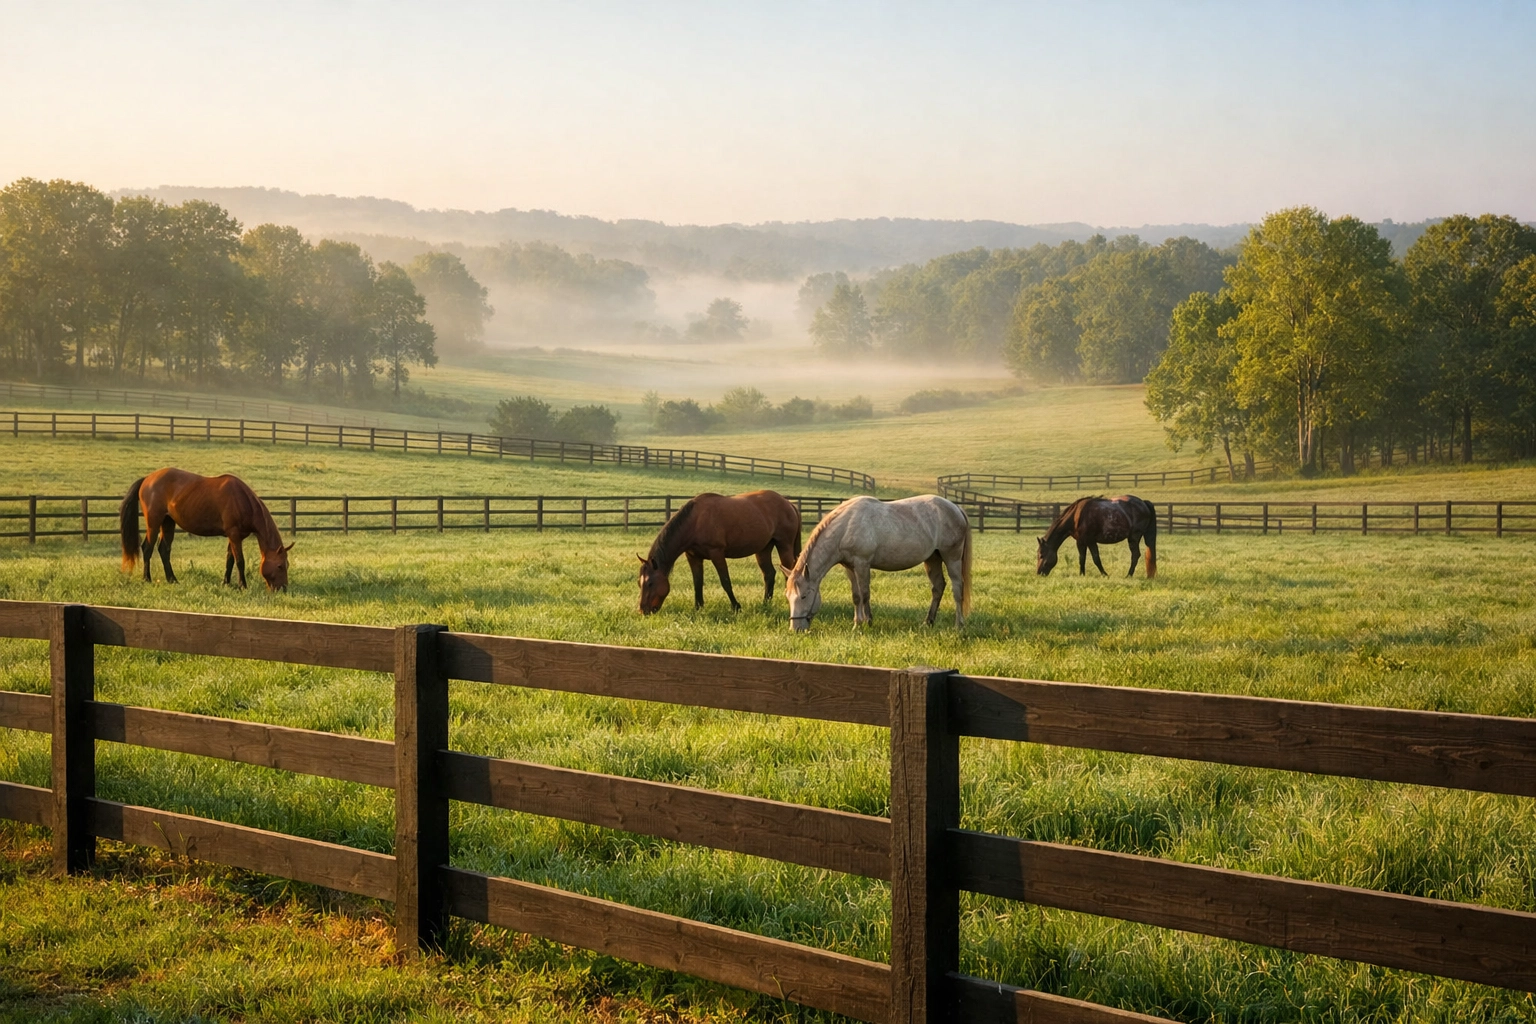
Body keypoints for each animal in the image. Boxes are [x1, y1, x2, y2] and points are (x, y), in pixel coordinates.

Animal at [120, 468, 293, 590]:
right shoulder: (234, 534)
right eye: (280, 566)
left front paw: (226, 583)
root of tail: (147, 479)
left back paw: (172, 580)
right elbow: (240, 561)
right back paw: (147, 579)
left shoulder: (233, 536)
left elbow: (229, 559)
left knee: (164, 549)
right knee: (147, 548)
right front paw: (242, 586)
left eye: (287, 565)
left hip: (168, 522)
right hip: (154, 523)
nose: (283, 589)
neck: (243, 500)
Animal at [637, 490, 802, 614]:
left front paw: (736, 607)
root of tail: (789, 503)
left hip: (784, 545)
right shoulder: (693, 557)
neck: (695, 521)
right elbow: (697, 582)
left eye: (650, 583)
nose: (643, 610)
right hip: (763, 549)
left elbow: (725, 582)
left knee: (788, 572)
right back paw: (765, 604)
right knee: (769, 574)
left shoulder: (716, 553)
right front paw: (698, 608)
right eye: (640, 583)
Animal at [780, 494, 971, 631]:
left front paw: (868, 623)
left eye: (804, 596)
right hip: (932, 558)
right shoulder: (850, 568)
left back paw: (959, 626)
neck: (846, 526)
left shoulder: (862, 564)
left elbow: (865, 594)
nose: (794, 629)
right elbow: (856, 596)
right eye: (787, 596)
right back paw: (928, 622)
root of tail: (956, 508)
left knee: (957, 589)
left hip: (951, 557)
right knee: (938, 587)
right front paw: (857, 625)